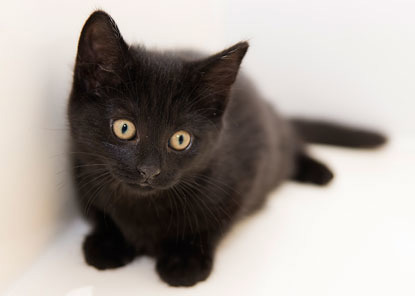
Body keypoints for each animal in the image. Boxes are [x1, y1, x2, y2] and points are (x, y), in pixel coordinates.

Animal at [67, 11, 386, 286]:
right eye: (124, 128)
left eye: (180, 139)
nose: (149, 170)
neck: (142, 207)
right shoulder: (83, 175)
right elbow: (100, 212)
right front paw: (107, 242)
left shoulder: (245, 175)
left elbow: (215, 224)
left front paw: (186, 260)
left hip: (276, 135)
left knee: (292, 140)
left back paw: (317, 170)